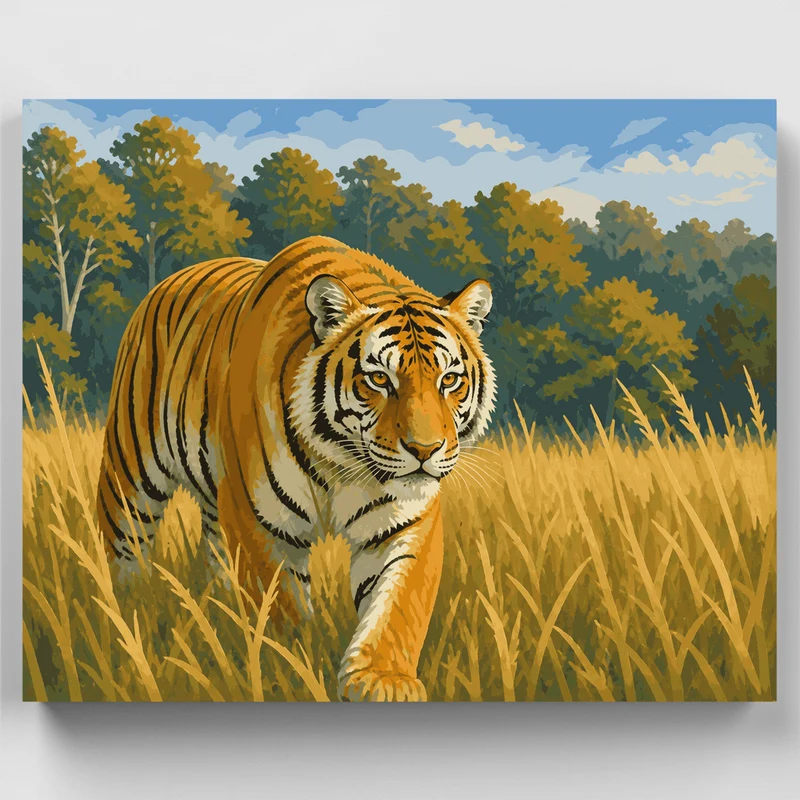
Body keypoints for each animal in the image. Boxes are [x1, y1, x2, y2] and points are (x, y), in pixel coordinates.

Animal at [96, 235, 496, 701]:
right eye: (379, 379)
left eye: (449, 380)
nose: (424, 449)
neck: (342, 462)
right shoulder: (261, 522)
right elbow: (279, 604)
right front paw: (290, 667)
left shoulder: (404, 521)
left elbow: (397, 605)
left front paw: (384, 681)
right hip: (131, 475)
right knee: (123, 551)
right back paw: (126, 618)